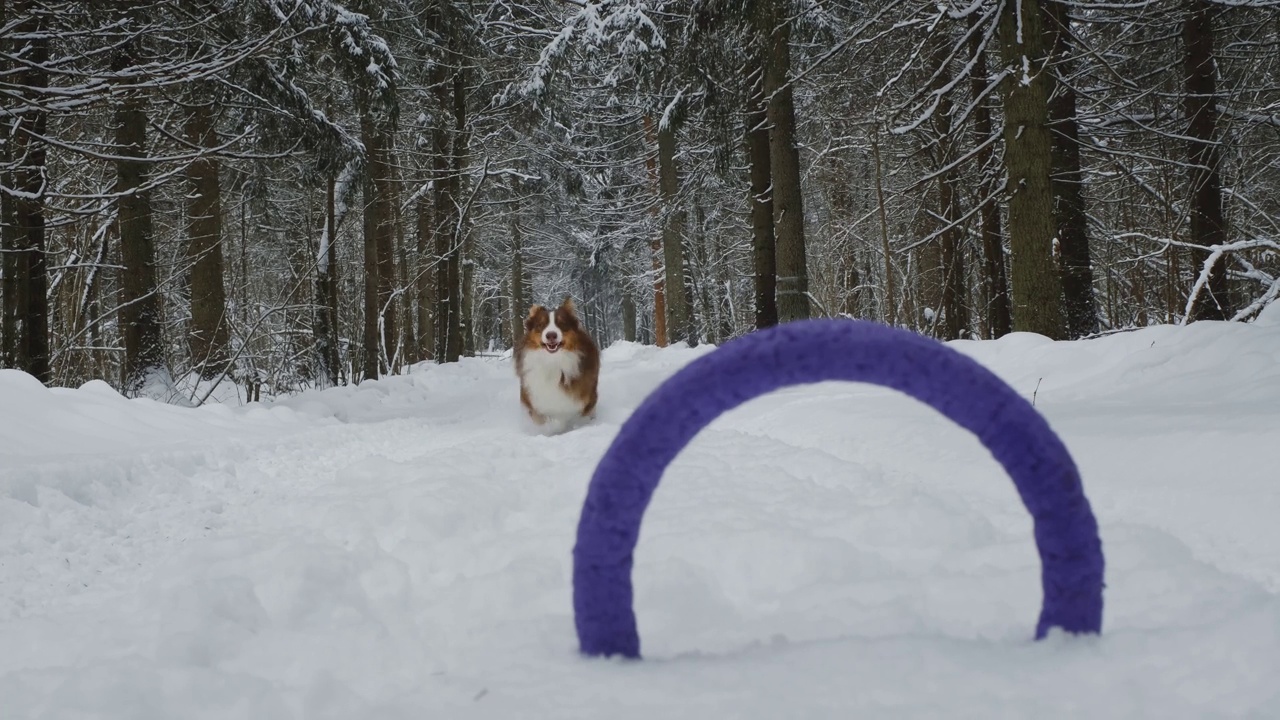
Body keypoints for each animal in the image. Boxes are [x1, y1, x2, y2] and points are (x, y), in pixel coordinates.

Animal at [514, 294, 599, 427]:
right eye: (541, 325)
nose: (551, 335)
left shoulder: (588, 399)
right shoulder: (531, 400)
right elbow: (540, 418)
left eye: (561, 323)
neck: (553, 360)